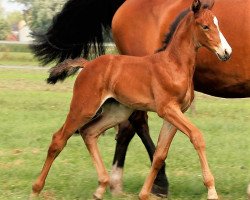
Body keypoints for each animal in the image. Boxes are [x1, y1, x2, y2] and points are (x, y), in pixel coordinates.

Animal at [31, 0, 250, 195]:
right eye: (205, 26)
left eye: (218, 23)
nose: (226, 52)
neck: (173, 64)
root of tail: (88, 64)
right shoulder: (167, 109)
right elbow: (197, 136)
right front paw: (211, 190)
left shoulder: (175, 113)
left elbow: (160, 154)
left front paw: (145, 193)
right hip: (83, 108)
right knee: (59, 139)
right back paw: (36, 189)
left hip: (117, 111)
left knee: (91, 132)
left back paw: (103, 186)